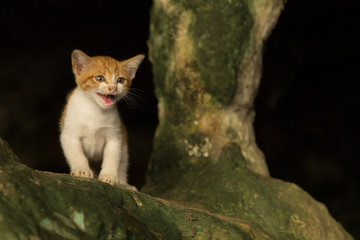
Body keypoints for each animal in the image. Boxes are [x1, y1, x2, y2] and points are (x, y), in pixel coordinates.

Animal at [59, 49, 144, 190]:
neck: (96, 110)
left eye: (120, 80)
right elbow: (76, 154)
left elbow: (112, 158)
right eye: (99, 78)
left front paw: (109, 176)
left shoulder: (115, 137)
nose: (113, 88)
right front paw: (82, 170)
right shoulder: (70, 134)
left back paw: (123, 184)